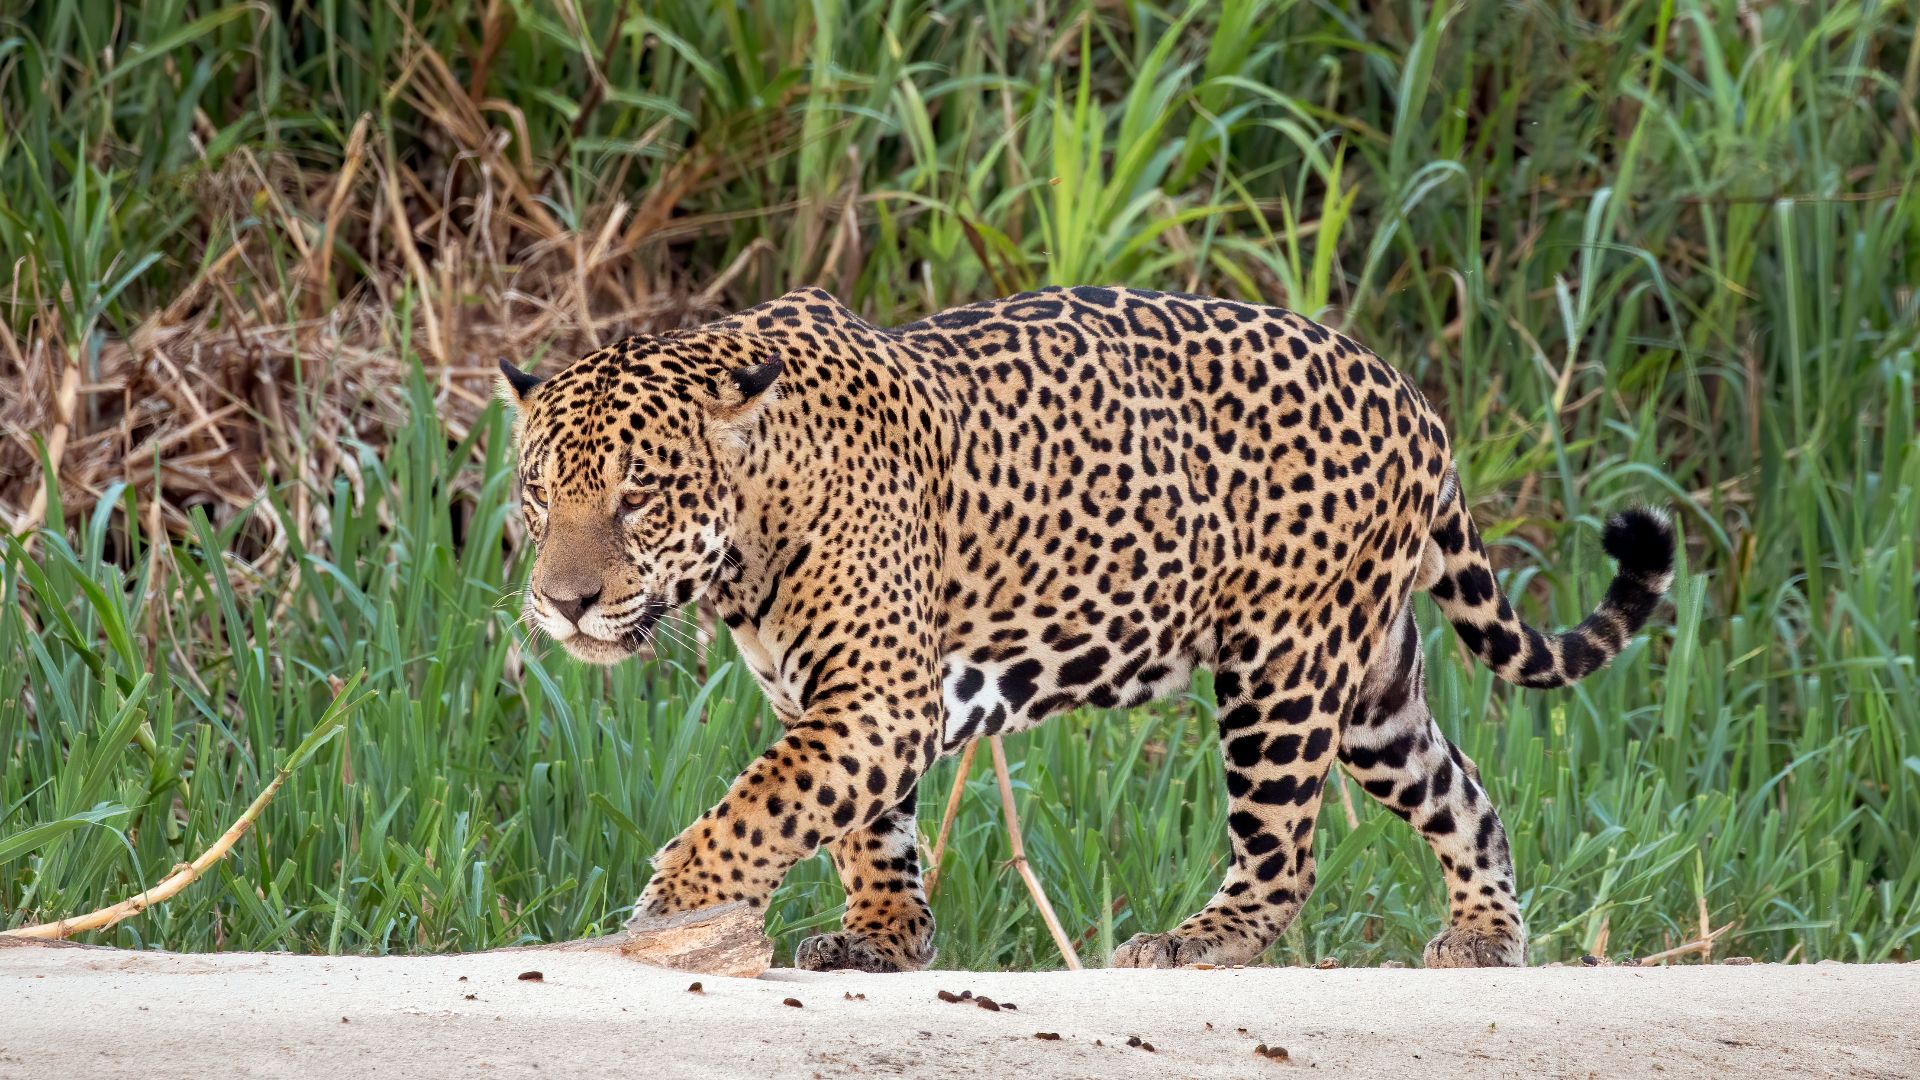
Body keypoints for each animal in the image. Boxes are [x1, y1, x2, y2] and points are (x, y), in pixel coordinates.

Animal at [498, 285, 1674, 972]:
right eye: (539, 491)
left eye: (638, 498)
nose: (563, 603)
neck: (750, 534)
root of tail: (1413, 399)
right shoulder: (835, 702)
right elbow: (859, 825)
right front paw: (885, 938)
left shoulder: (878, 700)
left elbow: (761, 806)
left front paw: (672, 904)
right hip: (1374, 686)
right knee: (1465, 796)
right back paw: (1484, 936)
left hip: (1282, 669)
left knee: (1283, 853)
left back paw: (1196, 943)